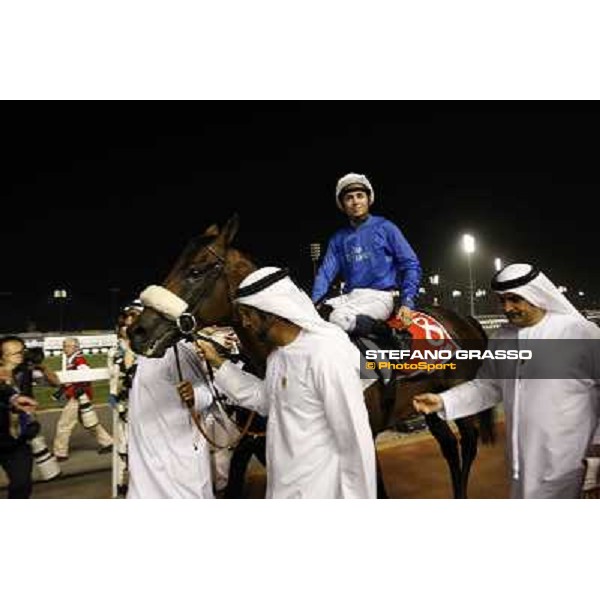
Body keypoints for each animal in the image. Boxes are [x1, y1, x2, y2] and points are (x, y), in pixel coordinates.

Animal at [129, 214, 494, 496]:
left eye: (196, 270)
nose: (138, 331)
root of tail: (465, 318)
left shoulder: (358, 431)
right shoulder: (259, 439)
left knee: (469, 442)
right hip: (429, 403)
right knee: (449, 446)